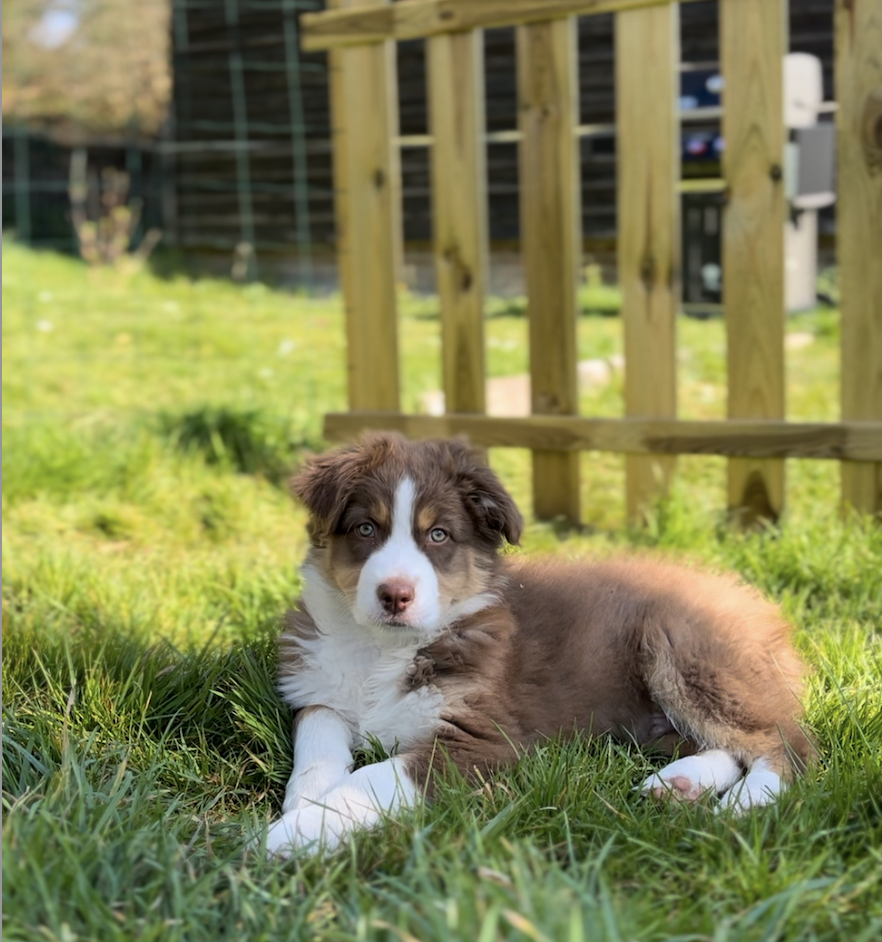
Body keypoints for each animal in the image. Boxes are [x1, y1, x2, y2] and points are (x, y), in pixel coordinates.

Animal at [263, 434, 812, 856]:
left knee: (787, 742)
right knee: (726, 744)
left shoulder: (484, 736)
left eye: (439, 535)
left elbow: (374, 776)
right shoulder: (316, 687)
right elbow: (318, 735)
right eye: (365, 528)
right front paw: (306, 800)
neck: (384, 647)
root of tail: (757, 603)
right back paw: (678, 785)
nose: (395, 595)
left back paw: (739, 807)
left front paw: (293, 834)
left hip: (684, 651)